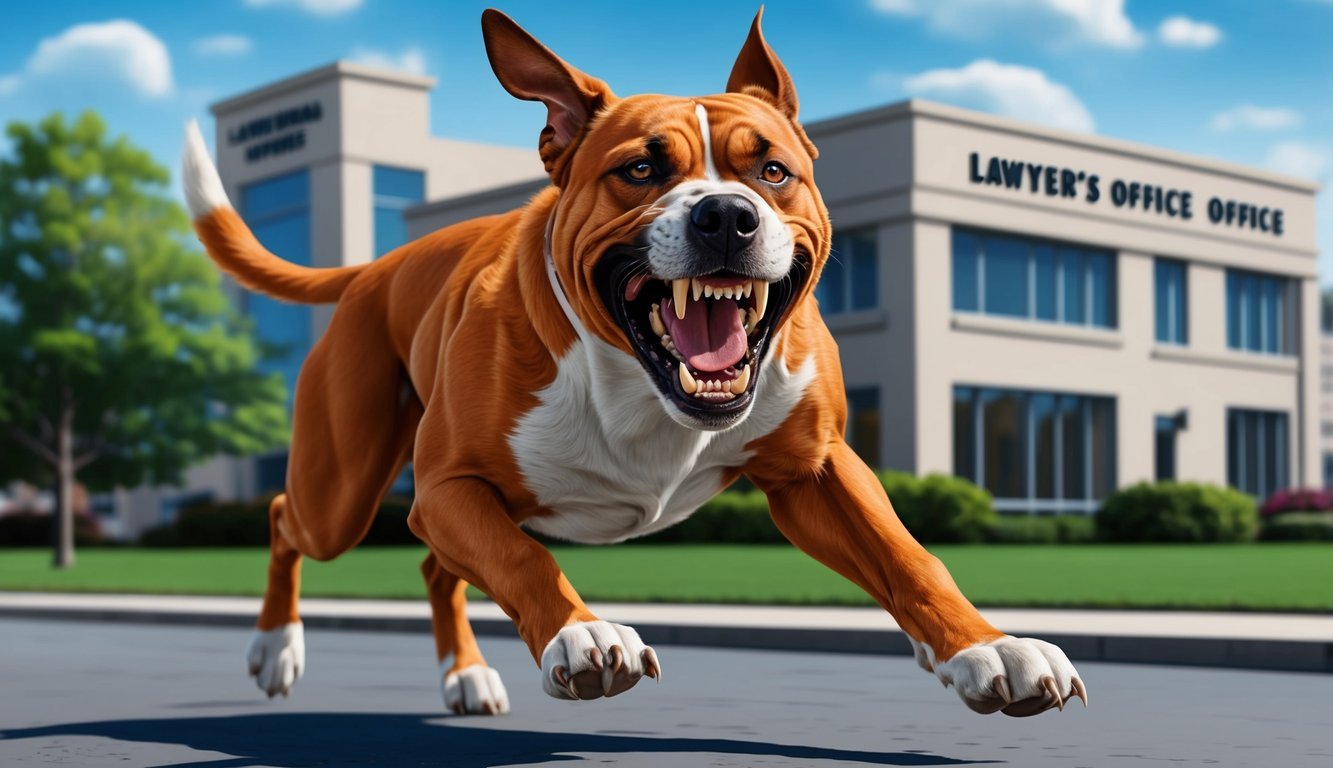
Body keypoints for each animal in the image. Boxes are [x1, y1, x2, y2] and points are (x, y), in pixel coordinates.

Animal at [182, 9, 1087, 714]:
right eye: (640, 169)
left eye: (773, 170)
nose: (725, 215)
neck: (638, 384)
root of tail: (377, 266)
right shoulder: (449, 487)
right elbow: (525, 559)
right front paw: (583, 635)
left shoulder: (817, 471)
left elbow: (908, 555)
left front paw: (984, 647)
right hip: (344, 486)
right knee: (287, 519)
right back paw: (276, 648)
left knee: (435, 567)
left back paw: (465, 678)